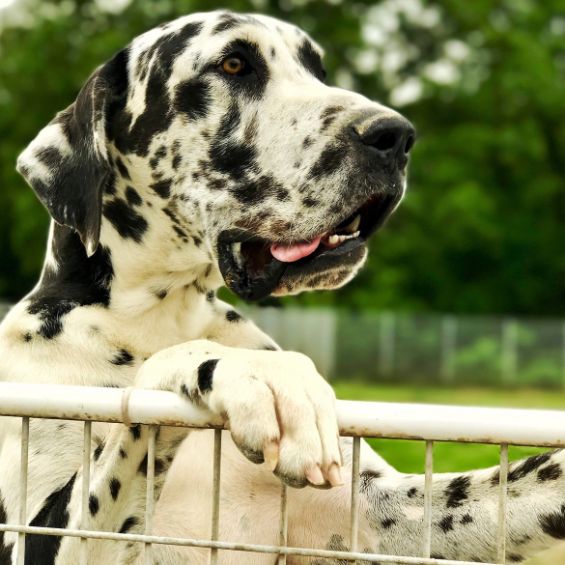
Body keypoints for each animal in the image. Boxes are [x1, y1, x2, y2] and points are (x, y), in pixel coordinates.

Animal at [1, 9, 564, 564]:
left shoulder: (383, 513)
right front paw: (264, 375)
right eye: (233, 64)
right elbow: (165, 376)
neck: (159, 315)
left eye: (317, 69)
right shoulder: (36, 539)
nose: (396, 135)